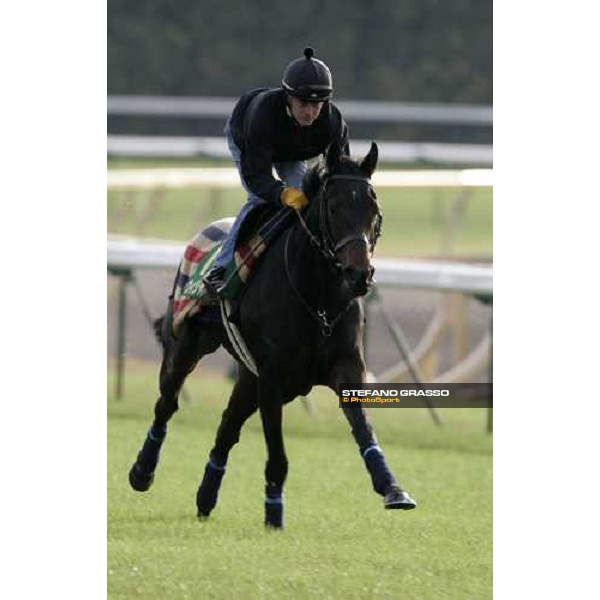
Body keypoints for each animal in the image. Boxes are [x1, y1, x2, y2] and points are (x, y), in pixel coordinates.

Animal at [128, 143, 414, 528]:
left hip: (250, 378)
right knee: (167, 404)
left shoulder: (344, 368)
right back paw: (142, 472)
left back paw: (206, 497)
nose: (359, 275)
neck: (318, 298)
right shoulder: (273, 378)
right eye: (334, 207)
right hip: (186, 347)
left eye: (374, 210)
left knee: (227, 427)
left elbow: (362, 426)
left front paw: (392, 488)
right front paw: (274, 511)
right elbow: (276, 450)